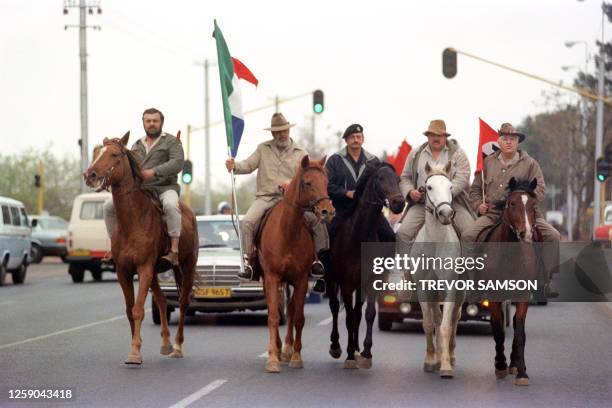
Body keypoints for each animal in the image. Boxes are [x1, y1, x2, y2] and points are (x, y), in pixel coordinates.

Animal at [83, 132, 196, 364]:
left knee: (183, 301)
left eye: (114, 154)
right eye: (97, 153)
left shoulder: (144, 269)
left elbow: (137, 310)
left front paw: (135, 352)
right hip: (154, 273)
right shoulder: (124, 271)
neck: (133, 221)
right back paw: (166, 343)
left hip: (186, 265)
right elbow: (130, 309)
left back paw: (177, 346)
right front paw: (136, 346)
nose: (90, 175)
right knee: (162, 300)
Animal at [256, 155, 338, 372]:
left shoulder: (301, 280)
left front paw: (295, 356)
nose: (327, 211)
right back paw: (278, 349)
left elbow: (299, 317)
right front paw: (272, 359)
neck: (288, 230)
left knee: (292, 310)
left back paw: (286, 349)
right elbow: (273, 316)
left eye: (326, 182)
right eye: (307, 182)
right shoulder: (272, 277)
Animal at [476, 176, 544, 386]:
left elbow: (520, 331)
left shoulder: (523, 295)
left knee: (515, 324)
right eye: (512, 203)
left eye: (533, 204)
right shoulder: (493, 296)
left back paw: (515, 364)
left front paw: (521, 372)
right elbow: (498, 330)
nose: (526, 233)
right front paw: (500, 365)